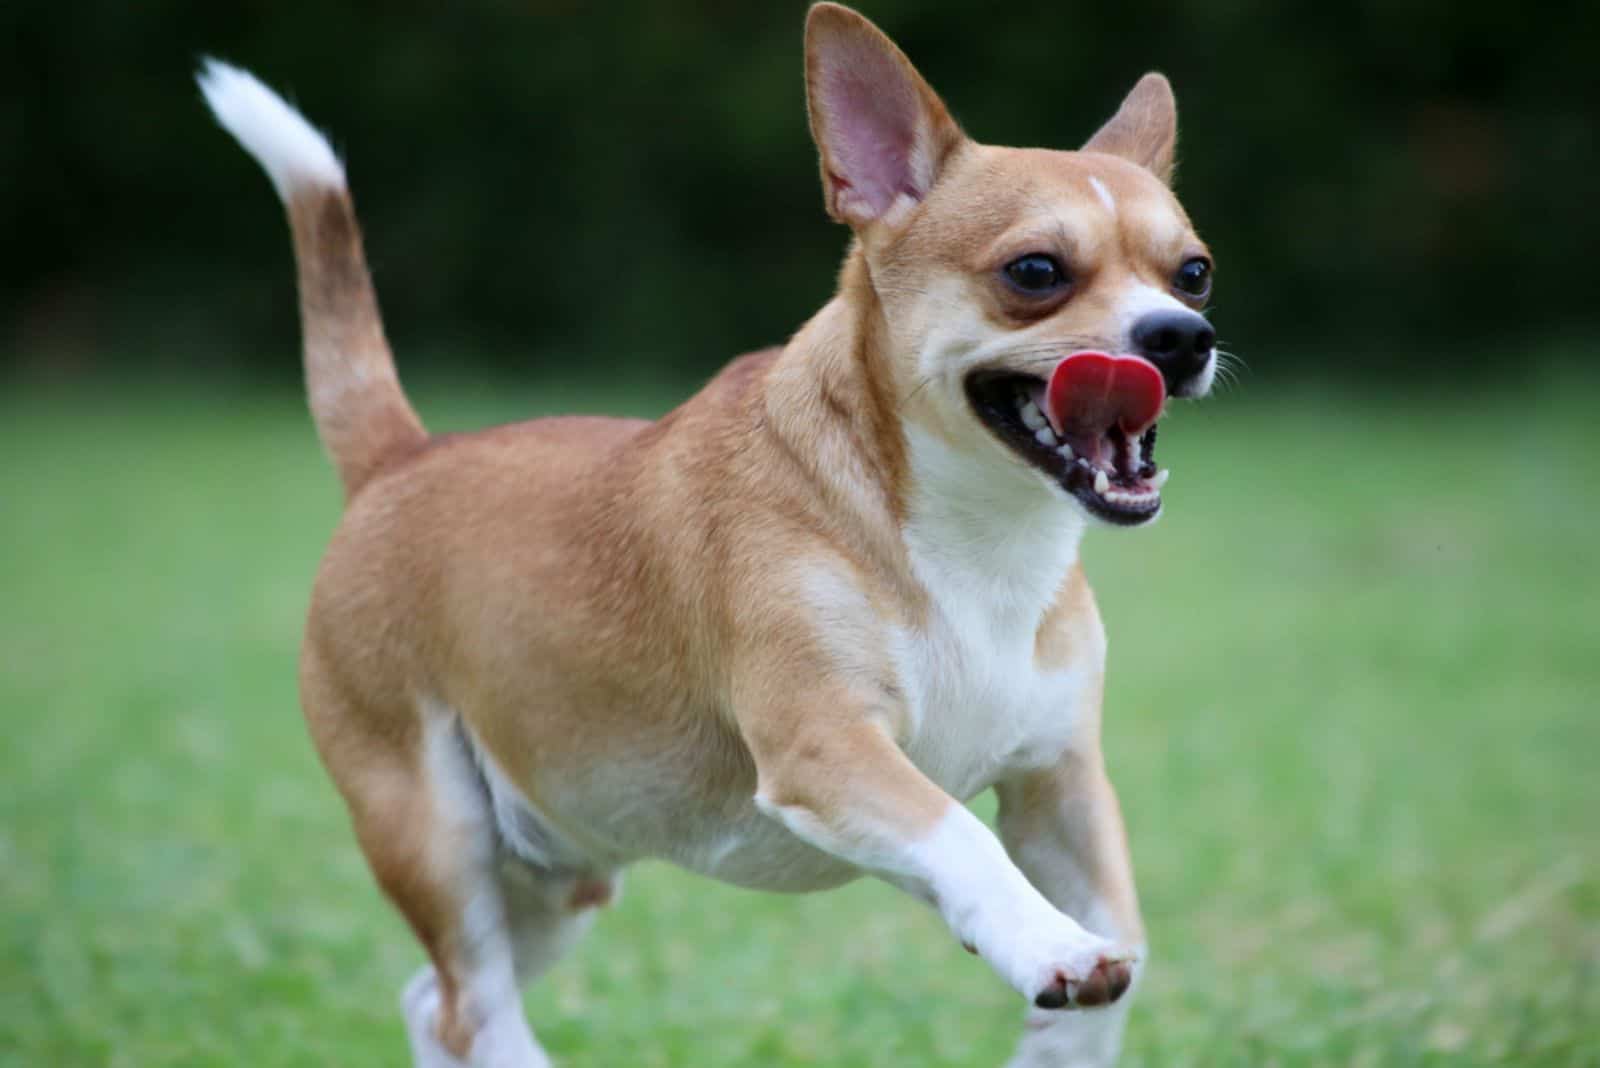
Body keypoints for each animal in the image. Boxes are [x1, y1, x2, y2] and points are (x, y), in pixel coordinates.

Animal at [196, 4, 1209, 1061]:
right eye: (1035, 272)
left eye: (1194, 274)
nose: (1182, 336)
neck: (981, 546)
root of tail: (400, 457)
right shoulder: (827, 748)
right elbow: (959, 839)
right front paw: (1052, 947)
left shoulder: (1059, 786)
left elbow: (1126, 937)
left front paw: (1064, 1029)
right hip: (437, 835)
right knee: (473, 1005)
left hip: (557, 870)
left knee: (432, 1004)